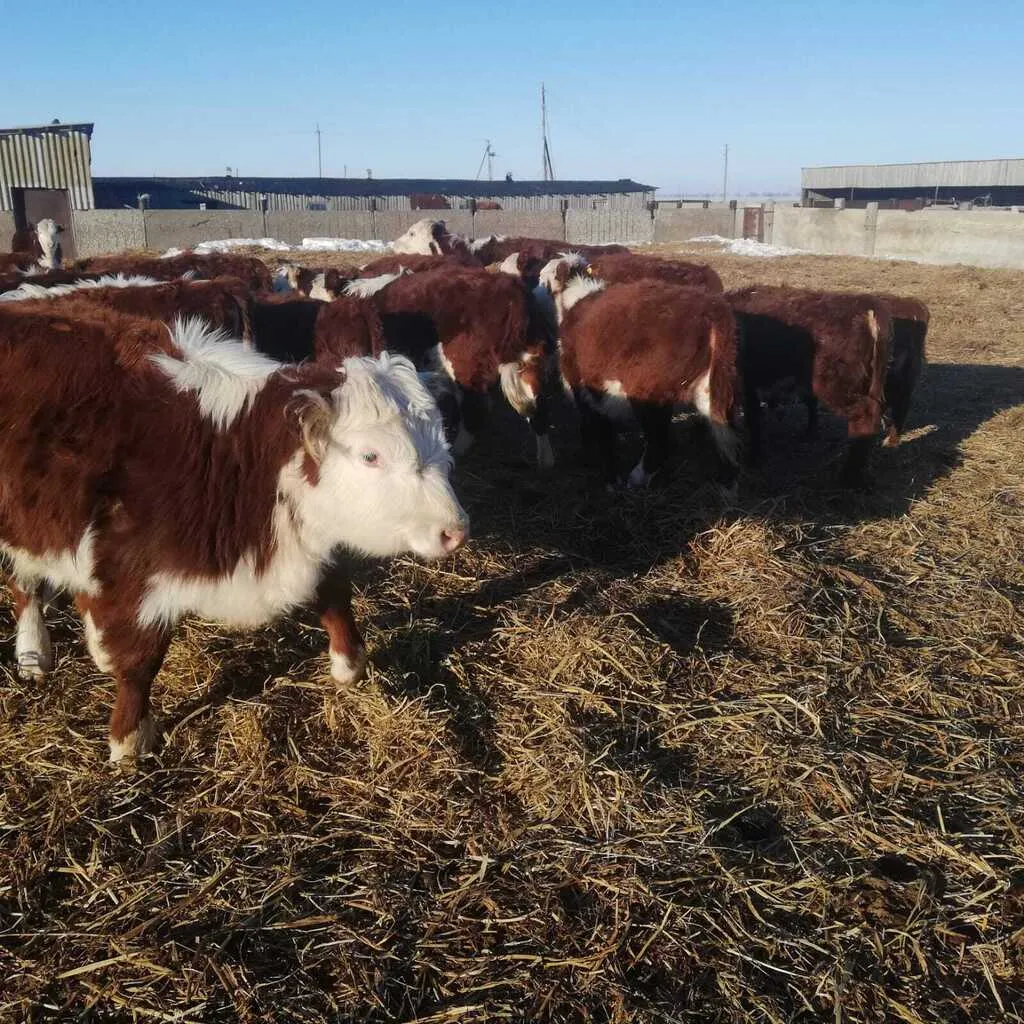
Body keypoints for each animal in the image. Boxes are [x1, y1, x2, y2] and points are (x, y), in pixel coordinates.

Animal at [0, 303, 468, 761]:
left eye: (441, 441)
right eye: (371, 456)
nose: (455, 531)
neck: (234, 456)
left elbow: (335, 593)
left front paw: (348, 663)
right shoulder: (128, 570)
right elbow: (139, 658)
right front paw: (129, 739)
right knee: (25, 585)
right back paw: (35, 654)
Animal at [540, 253, 741, 489]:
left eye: (546, 275)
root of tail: (712, 309)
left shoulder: (581, 385)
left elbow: (598, 430)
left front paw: (608, 476)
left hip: (647, 392)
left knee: (659, 440)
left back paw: (636, 477)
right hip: (712, 387)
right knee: (726, 433)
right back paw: (727, 482)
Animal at [729, 284, 897, 483]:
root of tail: (868, 305)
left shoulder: (744, 384)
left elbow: (751, 419)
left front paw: (752, 457)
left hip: (834, 386)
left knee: (864, 414)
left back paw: (848, 476)